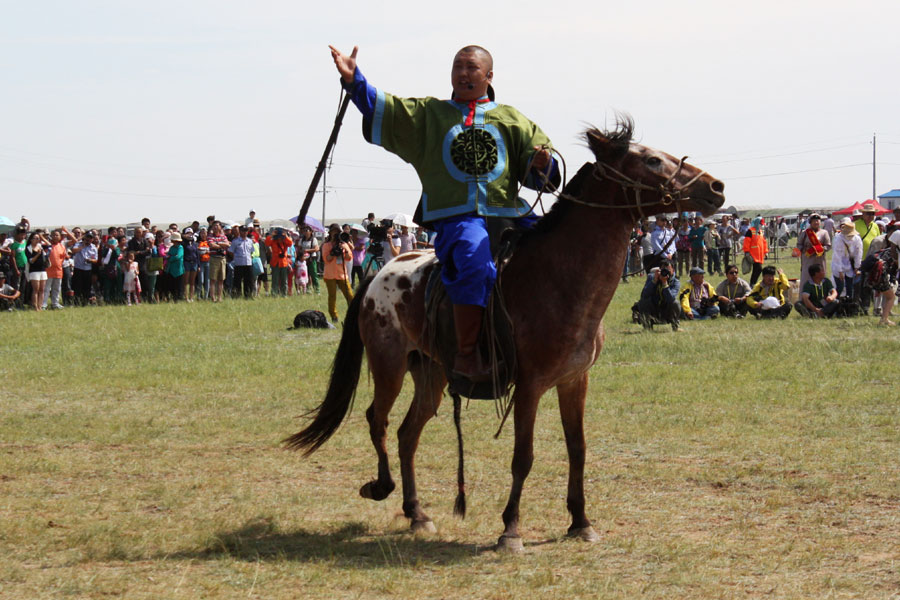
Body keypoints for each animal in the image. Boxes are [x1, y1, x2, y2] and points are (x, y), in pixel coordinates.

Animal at [288, 117, 724, 552]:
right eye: (651, 160)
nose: (716, 187)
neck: (559, 278)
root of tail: (380, 273)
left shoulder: (574, 381)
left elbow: (577, 449)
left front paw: (580, 520)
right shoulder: (529, 385)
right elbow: (523, 456)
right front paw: (510, 529)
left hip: (430, 373)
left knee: (407, 433)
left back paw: (417, 513)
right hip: (388, 365)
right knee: (377, 420)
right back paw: (382, 487)